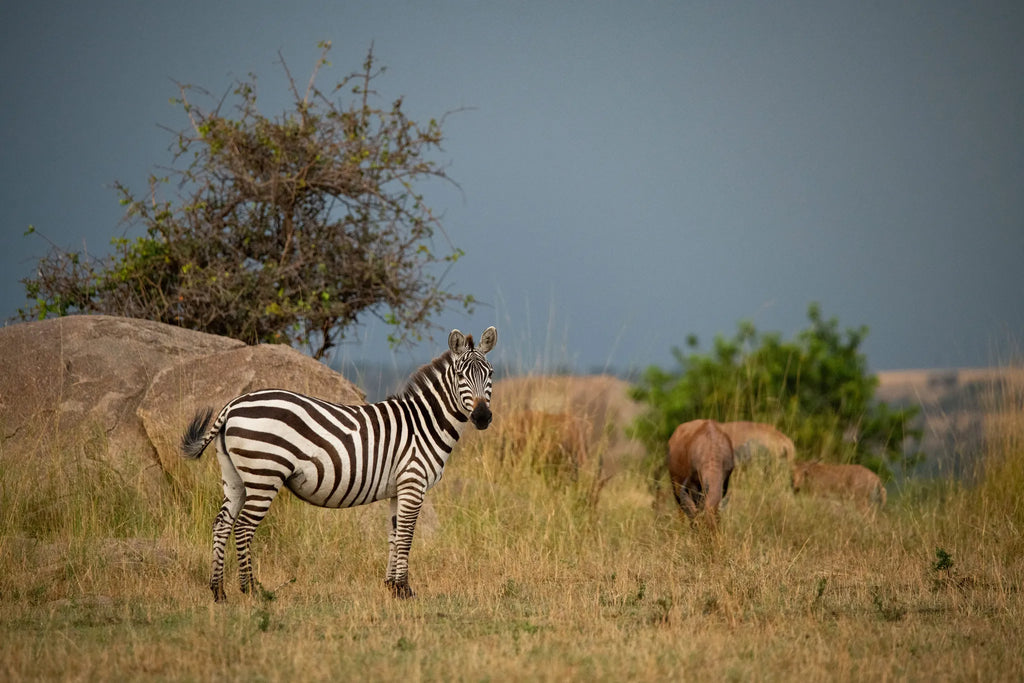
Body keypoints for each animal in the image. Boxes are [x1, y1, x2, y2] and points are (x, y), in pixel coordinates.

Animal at [180, 326, 497, 601]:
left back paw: (218, 591)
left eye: (490, 374)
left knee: (222, 524)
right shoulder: (412, 482)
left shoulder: (398, 488)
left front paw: (392, 587)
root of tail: (233, 405)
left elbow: (394, 535)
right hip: (264, 474)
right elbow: (406, 536)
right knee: (244, 526)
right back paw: (250, 590)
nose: (482, 417)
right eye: (461, 376)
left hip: (235, 476)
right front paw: (406, 590)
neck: (423, 423)